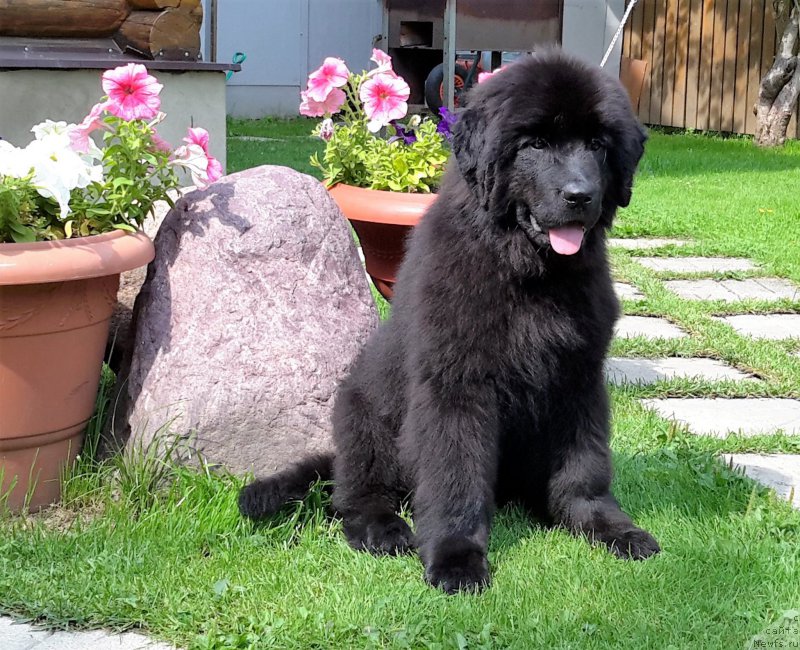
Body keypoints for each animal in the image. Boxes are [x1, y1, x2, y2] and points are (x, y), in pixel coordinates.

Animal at [239, 50, 664, 592]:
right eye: (536, 144)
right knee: (354, 496)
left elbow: (584, 467)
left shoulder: (578, 379)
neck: (526, 274)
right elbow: (455, 474)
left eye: (597, 145)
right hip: (364, 416)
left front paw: (603, 524)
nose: (580, 195)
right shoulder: (455, 385)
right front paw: (456, 557)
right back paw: (382, 529)